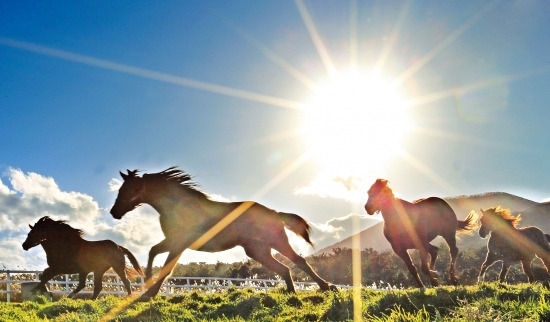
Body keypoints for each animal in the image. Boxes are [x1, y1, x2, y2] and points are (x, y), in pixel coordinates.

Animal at [110, 167, 338, 300]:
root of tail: (275, 213)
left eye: (128, 189)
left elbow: (166, 268)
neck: (179, 205)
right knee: (285, 268)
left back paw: (326, 287)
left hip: (276, 242)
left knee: (299, 261)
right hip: (258, 250)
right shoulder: (172, 241)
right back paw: (292, 294)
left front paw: (150, 292)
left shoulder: (179, 244)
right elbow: (152, 252)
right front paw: (147, 284)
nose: (114, 212)